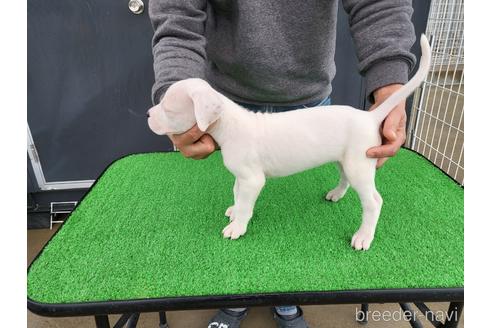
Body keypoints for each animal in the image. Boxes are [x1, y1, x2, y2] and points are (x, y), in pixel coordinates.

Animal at [148, 35, 428, 251]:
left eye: (169, 109)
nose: (149, 115)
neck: (229, 124)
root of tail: (370, 116)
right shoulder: (242, 177)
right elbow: (237, 194)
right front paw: (234, 210)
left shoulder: (252, 179)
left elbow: (245, 203)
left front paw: (237, 226)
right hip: (346, 160)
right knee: (345, 179)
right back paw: (336, 194)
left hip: (360, 165)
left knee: (373, 202)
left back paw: (363, 236)